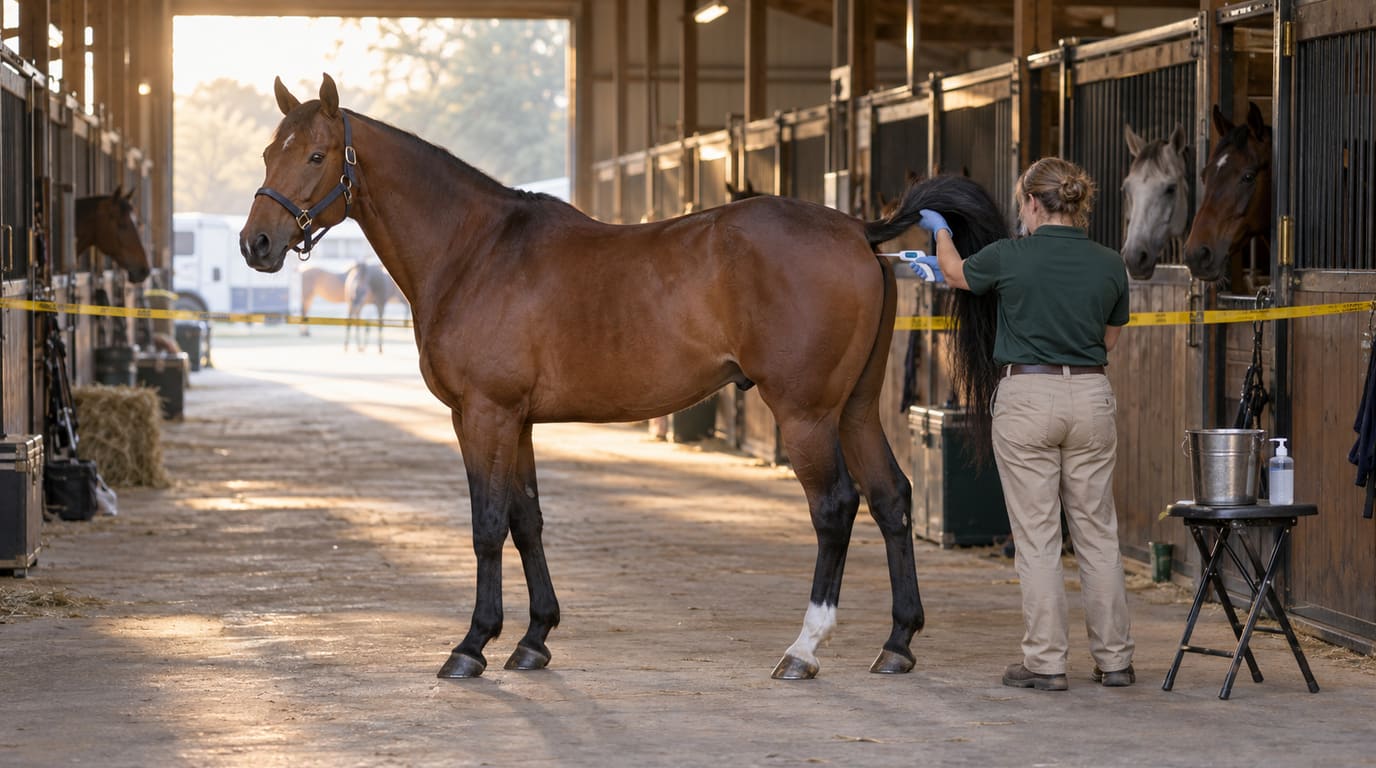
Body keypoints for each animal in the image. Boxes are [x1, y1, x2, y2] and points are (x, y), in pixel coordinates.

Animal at [240, 74, 1001, 681]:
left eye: (315, 155)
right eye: (269, 152)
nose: (257, 244)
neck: (475, 250)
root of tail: (857, 231)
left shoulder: (482, 414)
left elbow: (487, 525)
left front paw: (472, 645)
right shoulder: (516, 421)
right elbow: (526, 520)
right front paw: (534, 639)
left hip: (807, 415)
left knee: (836, 508)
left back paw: (803, 650)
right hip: (856, 409)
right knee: (892, 499)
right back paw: (897, 643)